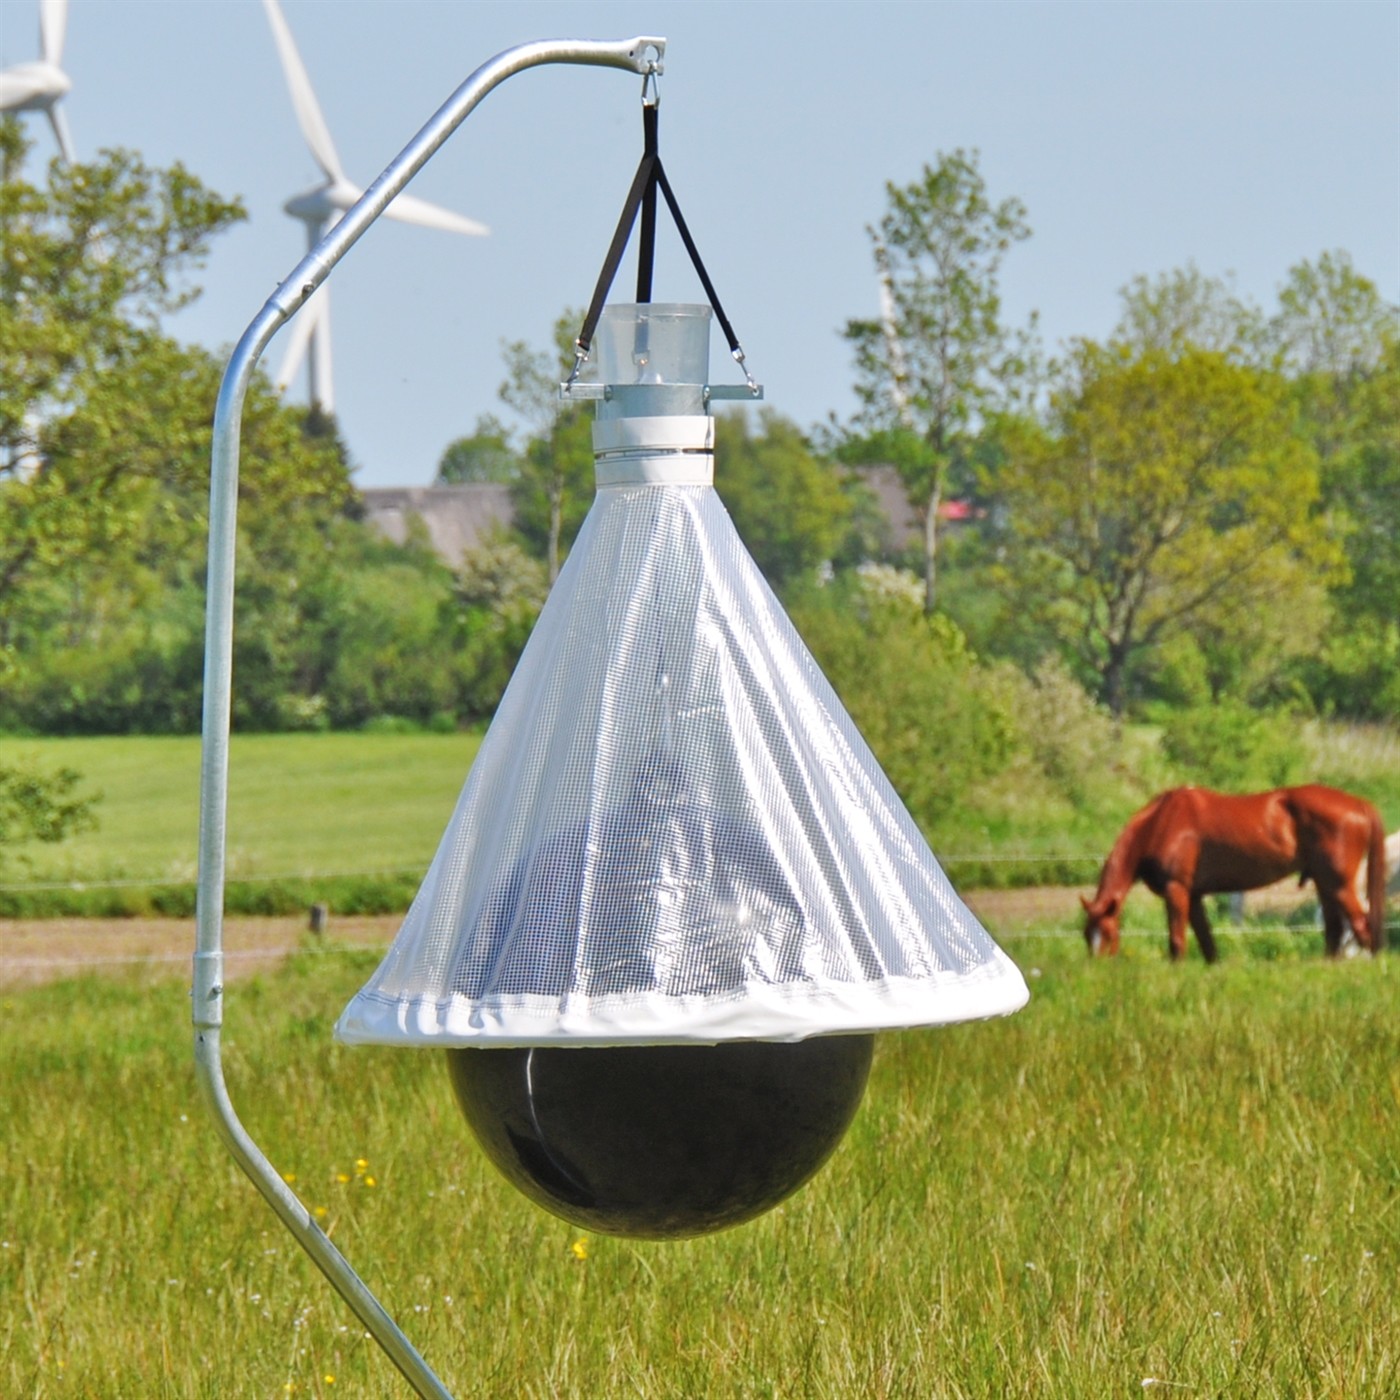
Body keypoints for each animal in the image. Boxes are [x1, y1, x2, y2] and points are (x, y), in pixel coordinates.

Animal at [1081, 785, 1387, 962]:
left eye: (1108, 935)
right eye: (1087, 935)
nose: (1097, 970)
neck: (1161, 822)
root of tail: (1358, 803)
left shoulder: (1176, 890)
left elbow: (1177, 939)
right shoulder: (1193, 896)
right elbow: (1206, 942)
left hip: (1338, 884)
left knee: (1360, 926)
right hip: (1325, 884)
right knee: (1335, 929)